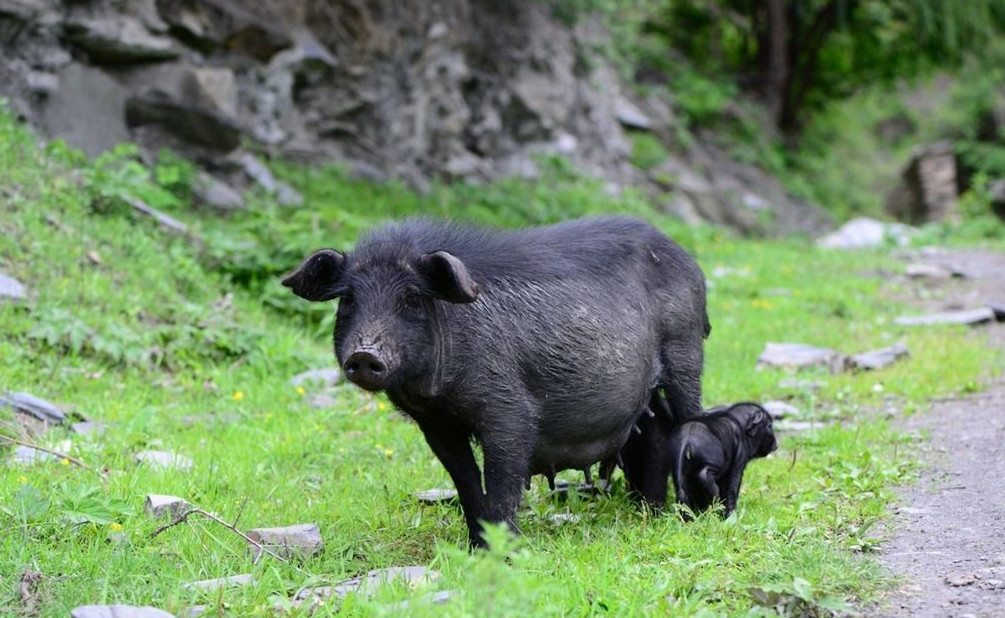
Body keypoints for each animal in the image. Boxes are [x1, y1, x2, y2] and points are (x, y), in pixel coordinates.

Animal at [281, 218, 707, 546]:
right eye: (348, 300)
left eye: (411, 300)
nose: (364, 354)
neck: (436, 393)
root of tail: (685, 256)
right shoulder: (437, 424)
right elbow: (466, 483)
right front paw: (475, 548)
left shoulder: (508, 408)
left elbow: (503, 480)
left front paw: (504, 551)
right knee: (655, 429)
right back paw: (650, 511)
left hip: (686, 350)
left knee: (689, 417)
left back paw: (690, 513)